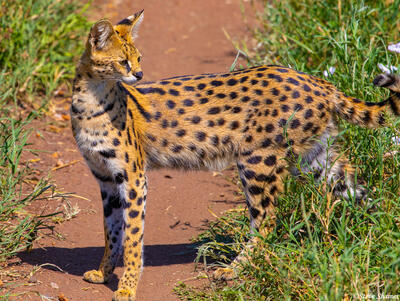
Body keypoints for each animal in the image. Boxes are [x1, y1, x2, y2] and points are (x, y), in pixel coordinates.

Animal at [70, 10, 400, 298]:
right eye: (122, 61)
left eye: (138, 59)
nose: (139, 74)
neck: (91, 102)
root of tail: (319, 82)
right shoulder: (106, 178)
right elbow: (112, 231)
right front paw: (104, 273)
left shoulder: (134, 177)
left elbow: (133, 235)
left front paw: (127, 286)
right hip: (316, 158)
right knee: (360, 191)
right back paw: (378, 235)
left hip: (258, 162)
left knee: (267, 222)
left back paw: (235, 269)